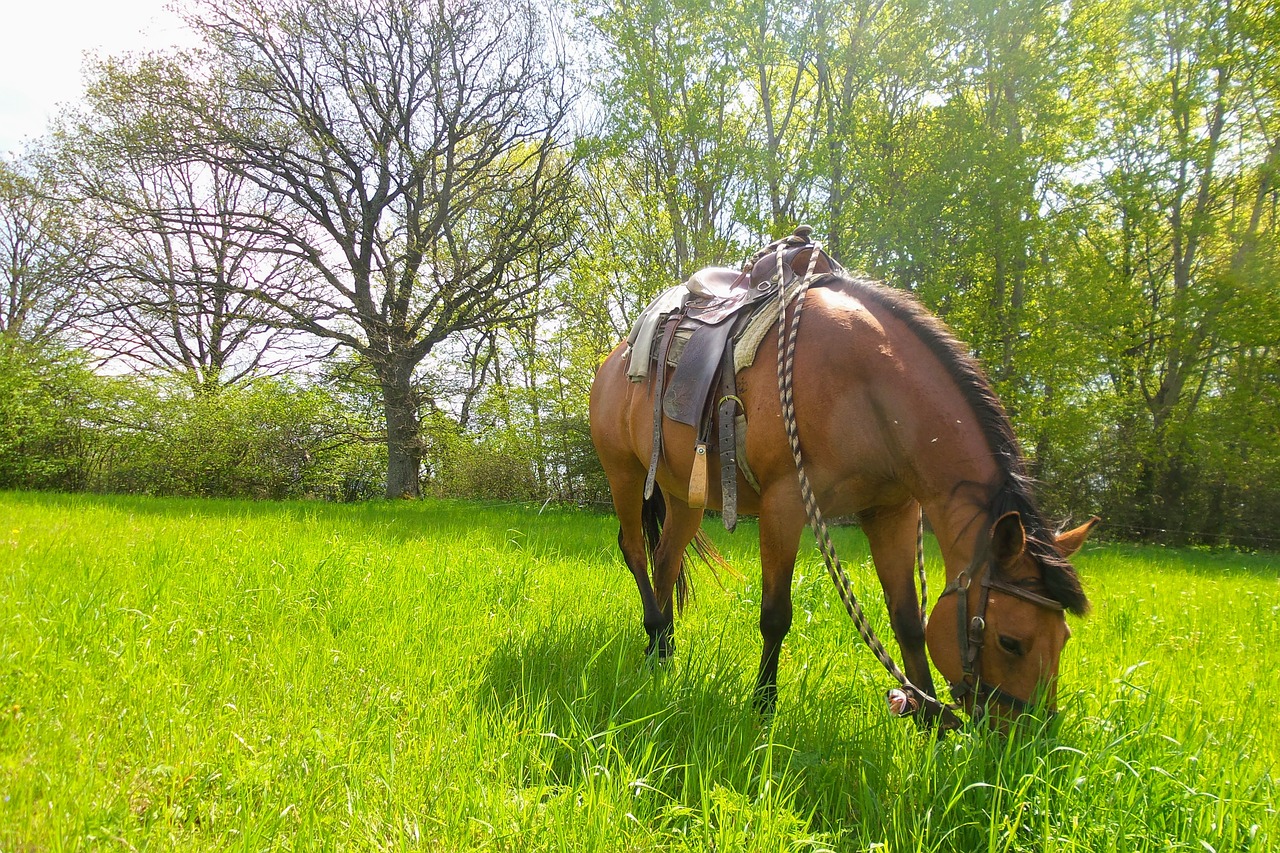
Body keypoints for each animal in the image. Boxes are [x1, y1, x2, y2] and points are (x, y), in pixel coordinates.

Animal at [588, 268, 1100, 722]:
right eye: (1011, 642)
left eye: (1065, 639)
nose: (1025, 743)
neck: (866, 388)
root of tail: (614, 359)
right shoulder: (785, 503)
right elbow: (776, 615)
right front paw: (763, 707)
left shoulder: (892, 511)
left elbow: (908, 621)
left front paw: (928, 719)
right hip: (625, 474)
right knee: (635, 549)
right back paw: (656, 632)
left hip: (683, 495)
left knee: (666, 558)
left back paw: (662, 654)